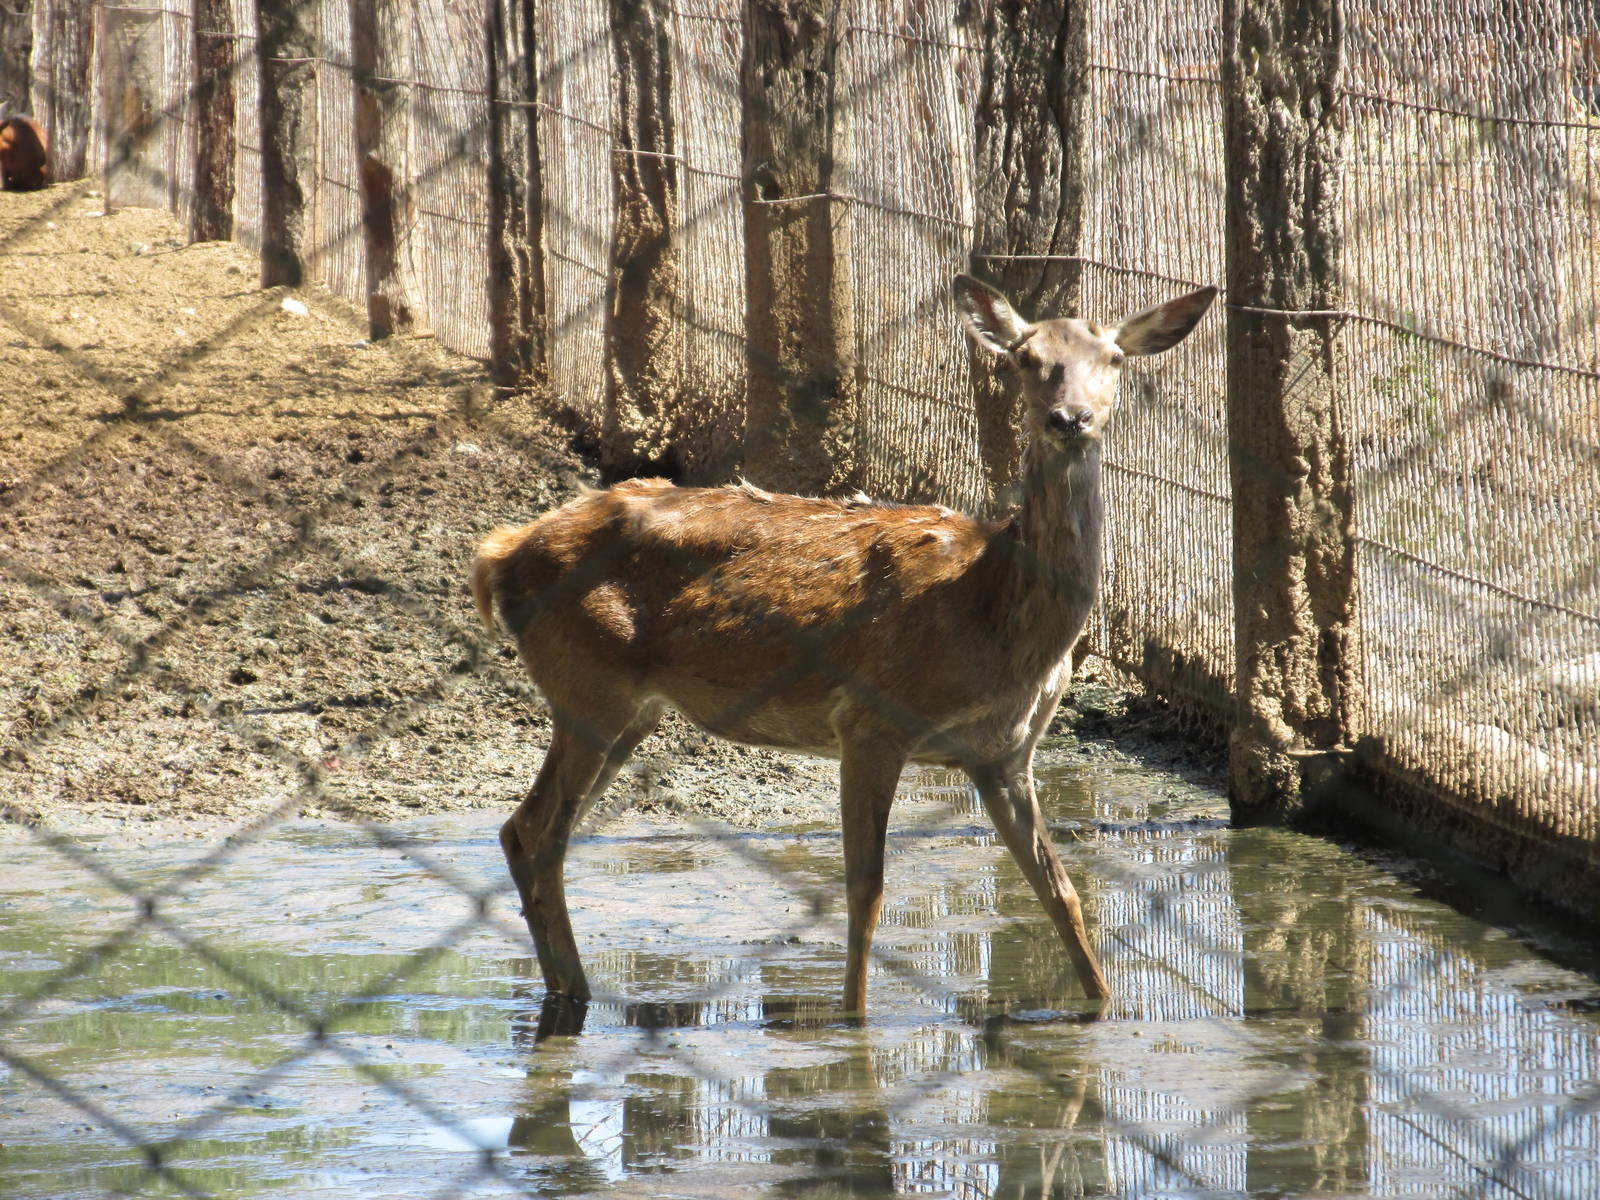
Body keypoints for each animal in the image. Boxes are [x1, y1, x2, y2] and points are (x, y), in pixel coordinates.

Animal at [471, 273, 1217, 1017]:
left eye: (1114, 359)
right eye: (1026, 358)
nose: (1070, 418)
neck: (993, 614)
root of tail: (500, 553)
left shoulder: (1004, 753)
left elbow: (1058, 890)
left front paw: (1102, 1007)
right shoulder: (868, 720)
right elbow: (867, 892)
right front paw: (853, 1020)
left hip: (629, 710)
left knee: (526, 830)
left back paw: (566, 987)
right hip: (590, 683)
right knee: (540, 832)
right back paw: (572, 994)